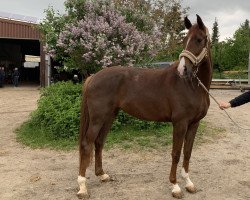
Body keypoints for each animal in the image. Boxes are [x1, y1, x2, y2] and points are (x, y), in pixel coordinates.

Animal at [77, 15, 212, 198]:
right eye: (185, 40)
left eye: (199, 39)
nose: (183, 69)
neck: (192, 86)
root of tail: (93, 77)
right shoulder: (180, 123)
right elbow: (176, 153)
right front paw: (175, 186)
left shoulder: (194, 124)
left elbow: (187, 152)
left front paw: (189, 183)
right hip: (98, 118)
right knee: (87, 145)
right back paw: (82, 187)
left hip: (109, 116)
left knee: (99, 142)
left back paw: (102, 175)